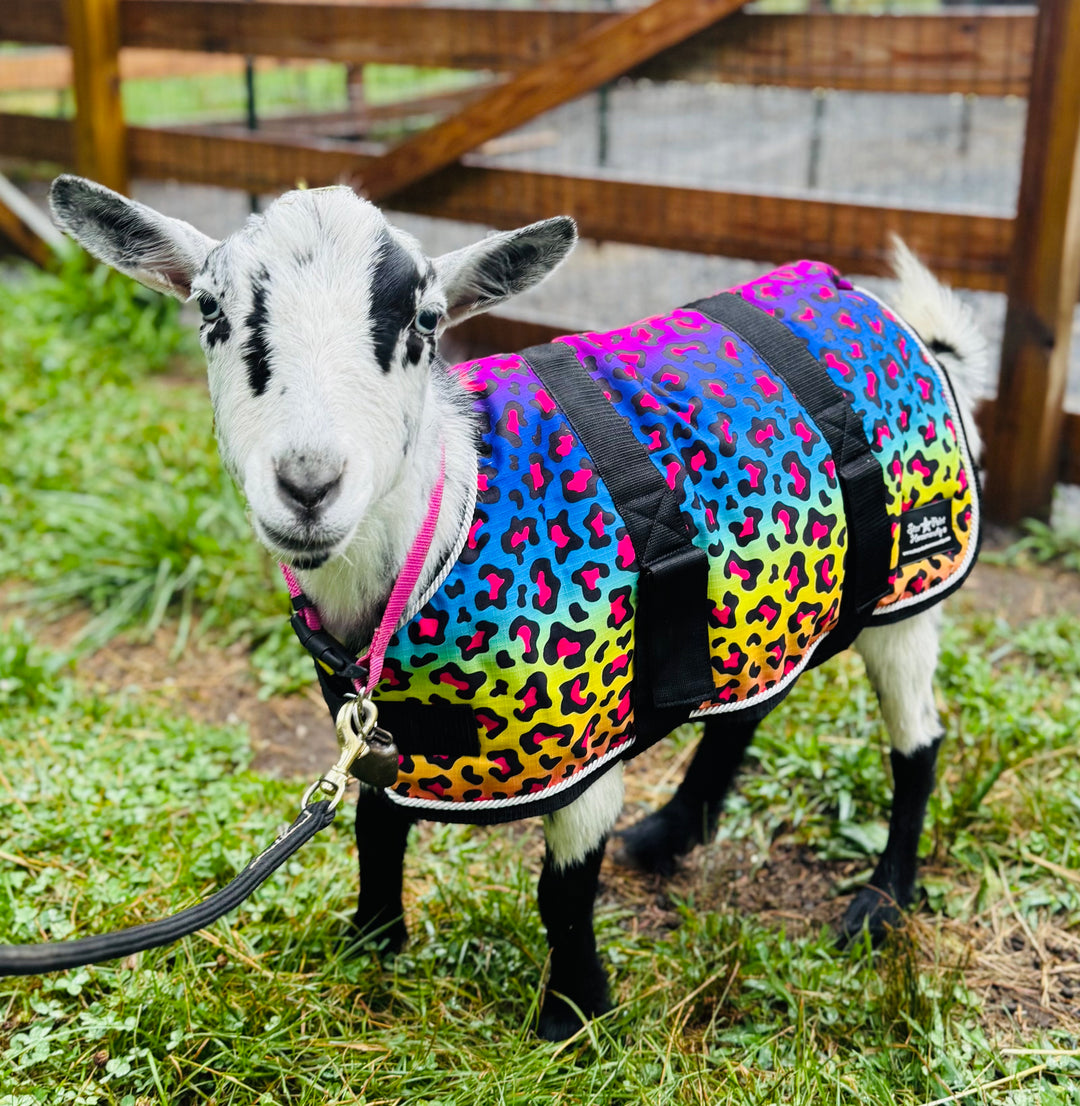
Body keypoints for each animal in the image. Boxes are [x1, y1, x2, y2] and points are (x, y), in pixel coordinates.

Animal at [49, 175, 986, 1041]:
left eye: (426, 321)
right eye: (212, 309)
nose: (309, 485)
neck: (448, 524)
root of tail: (911, 332)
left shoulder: (591, 747)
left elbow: (560, 893)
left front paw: (573, 1019)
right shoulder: (384, 733)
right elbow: (376, 831)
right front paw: (371, 945)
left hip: (911, 586)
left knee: (919, 744)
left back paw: (881, 904)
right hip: (775, 595)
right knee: (748, 704)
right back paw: (674, 832)